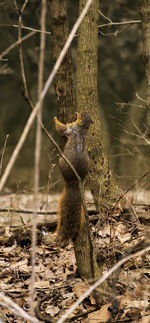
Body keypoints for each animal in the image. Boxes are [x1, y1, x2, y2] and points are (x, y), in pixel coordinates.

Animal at [53, 112, 92, 248]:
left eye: (80, 114)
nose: (76, 113)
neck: (82, 128)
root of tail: (75, 182)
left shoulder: (70, 128)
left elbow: (61, 129)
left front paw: (55, 119)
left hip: (62, 163)